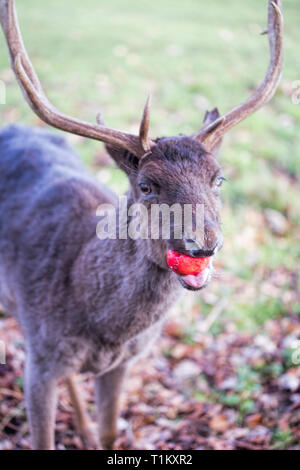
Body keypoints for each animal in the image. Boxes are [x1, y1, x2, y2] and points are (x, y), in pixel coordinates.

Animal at [0, 0, 282, 450]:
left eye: (219, 179)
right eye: (147, 186)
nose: (203, 244)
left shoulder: (120, 364)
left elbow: (111, 432)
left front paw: (96, 433)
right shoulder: (39, 357)